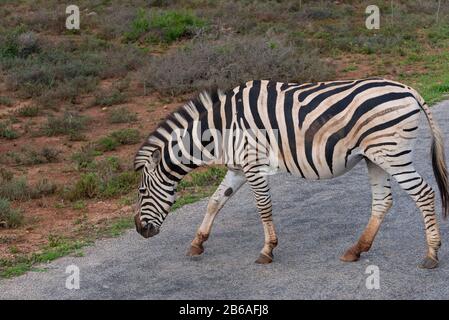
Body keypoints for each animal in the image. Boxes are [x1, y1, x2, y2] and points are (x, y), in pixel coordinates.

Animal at [134, 77, 448, 268]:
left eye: (141, 191)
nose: (139, 230)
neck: (221, 127)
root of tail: (407, 89)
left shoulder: (253, 163)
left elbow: (263, 206)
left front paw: (267, 250)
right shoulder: (237, 168)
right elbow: (215, 201)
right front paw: (197, 243)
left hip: (392, 154)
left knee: (424, 193)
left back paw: (431, 254)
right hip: (375, 157)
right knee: (383, 201)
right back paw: (356, 250)